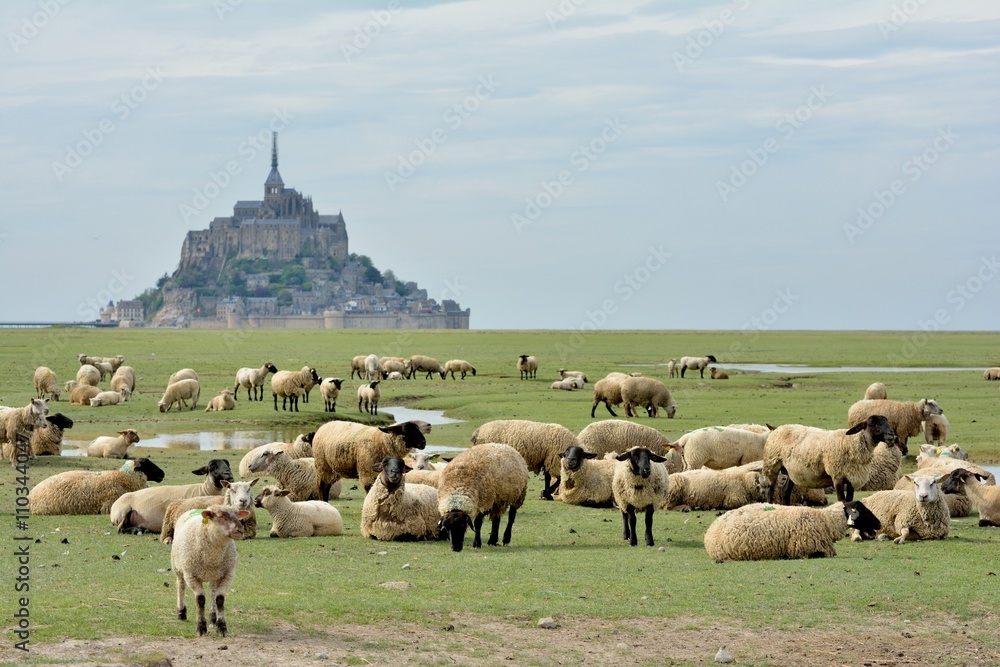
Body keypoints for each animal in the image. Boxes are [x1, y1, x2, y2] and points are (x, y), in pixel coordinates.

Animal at [170, 504, 249, 637]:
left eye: (237, 514)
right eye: (221, 516)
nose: (240, 530)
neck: (212, 556)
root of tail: (195, 509)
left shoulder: (228, 574)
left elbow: (220, 599)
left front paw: (221, 627)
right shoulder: (191, 575)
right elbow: (200, 600)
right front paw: (201, 627)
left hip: (214, 574)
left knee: (212, 592)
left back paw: (213, 618)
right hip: (178, 568)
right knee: (180, 586)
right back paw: (181, 613)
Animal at [762, 415, 898, 504]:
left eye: (887, 422)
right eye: (873, 424)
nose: (891, 435)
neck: (851, 443)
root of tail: (777, 429)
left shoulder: (851, 477)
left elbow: (849, 500)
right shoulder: (837, 476)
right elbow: (842, 500)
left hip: (792, 472)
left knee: (786, 491)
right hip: (772, 466)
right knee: (770, 490)